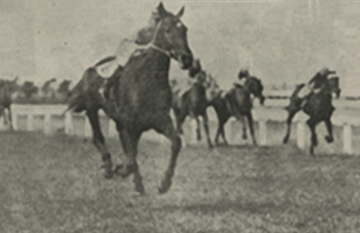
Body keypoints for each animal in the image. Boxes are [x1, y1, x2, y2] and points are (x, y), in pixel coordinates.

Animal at [66, 3, 193, 195]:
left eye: (184, 29)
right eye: (168, 29)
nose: (186, 59)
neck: (147, 82)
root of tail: (91, 69)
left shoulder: (160, 121)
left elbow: (176, 143)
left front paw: (164, 183)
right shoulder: (133, 126)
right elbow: (131, 156)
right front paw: (128, 174)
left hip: (118, 119)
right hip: (92, 109)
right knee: (98, 137)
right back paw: (108, 167)